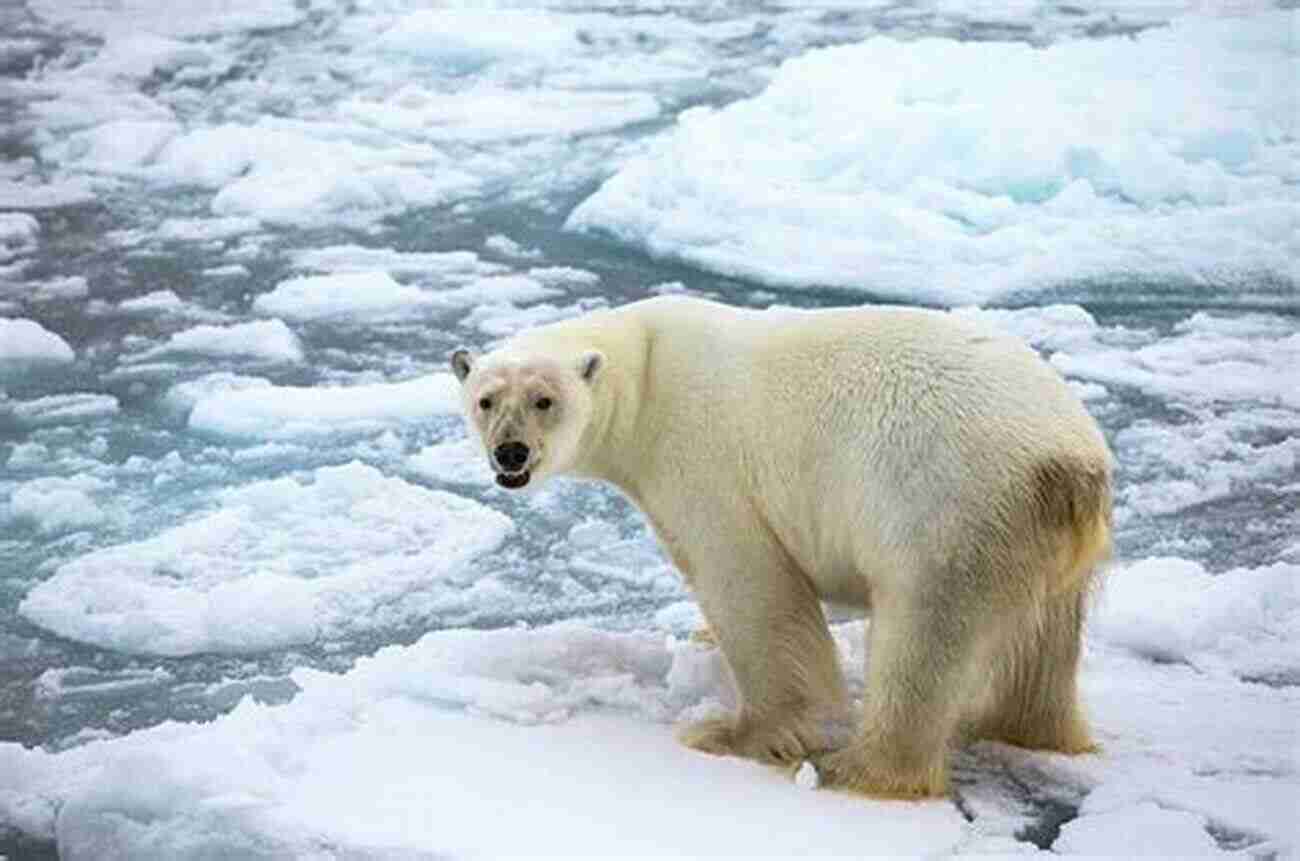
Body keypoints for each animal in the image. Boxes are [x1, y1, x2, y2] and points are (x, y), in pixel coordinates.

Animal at [452, 296, 1112, 801]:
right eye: (486, 399)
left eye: (545, 400)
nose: (510, 453)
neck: (645, 372)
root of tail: (1068, 464)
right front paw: (703, 641)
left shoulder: (702, 461)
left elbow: (751, 586)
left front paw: (733, 733)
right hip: (1034, 539)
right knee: (1040, 646)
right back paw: (1016, 726)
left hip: (945, 510)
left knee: (922, 639)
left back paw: (857, 767)